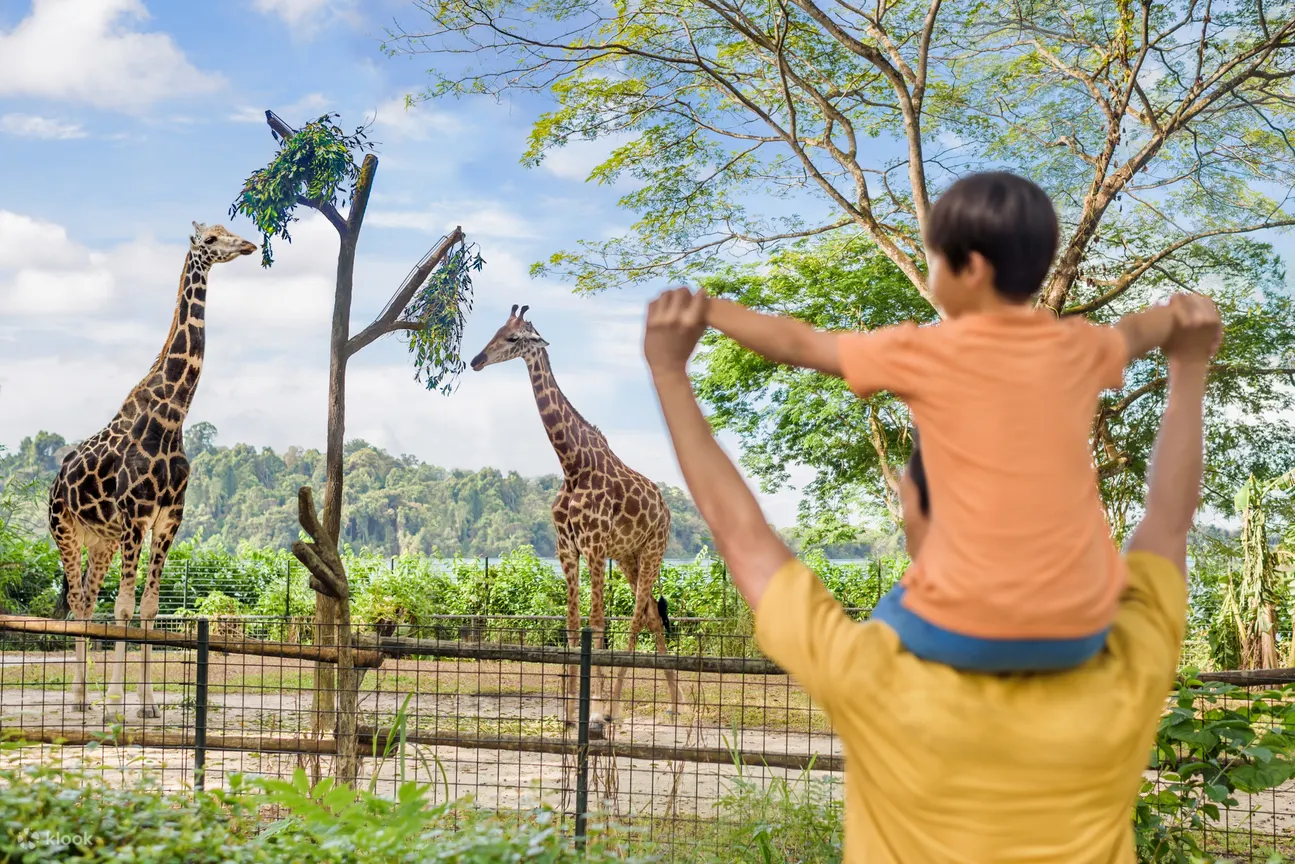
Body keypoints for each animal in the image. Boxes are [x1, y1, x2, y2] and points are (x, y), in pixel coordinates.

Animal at [48, 221, 255, 715]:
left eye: (228, 230)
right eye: (211, 239)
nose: (248, 245)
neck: (172, 417)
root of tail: (55, 481)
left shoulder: (168, 519)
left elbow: (148, 608)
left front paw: (146, 703)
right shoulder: (136, 516)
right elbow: (123, 608)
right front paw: (118, 701)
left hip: (101, 540)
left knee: (86, 601)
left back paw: (84, 697)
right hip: (65, 530)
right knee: (78, 601)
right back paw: (81, 698)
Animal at [471, 306, 683, 735]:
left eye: (514, 338)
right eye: (496, 330)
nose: (476, 360)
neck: (572, 464)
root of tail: (667, 509)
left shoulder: (595, 545)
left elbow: (597, 623)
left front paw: (596, 712)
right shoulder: (566, 548)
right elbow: (571, 625)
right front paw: (569, 715)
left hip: (653, 550)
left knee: (636, 618)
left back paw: (617, 708)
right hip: (630, 557)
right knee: (652, 615)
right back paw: (674, 704)